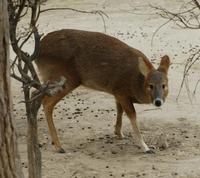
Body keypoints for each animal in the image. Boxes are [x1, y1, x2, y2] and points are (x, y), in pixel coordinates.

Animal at [35, 28, 170, 154]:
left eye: (164, 85)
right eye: (150, 85)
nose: (158, 102)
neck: (135, 82)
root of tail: (38, 52)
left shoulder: (117, 91)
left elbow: (119, 110)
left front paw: (119, 133)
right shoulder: (121, 91)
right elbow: (132, 116)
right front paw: (145, 147)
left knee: (36, 94)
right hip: (65, 77)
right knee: (47, 103)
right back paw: (58, 146)